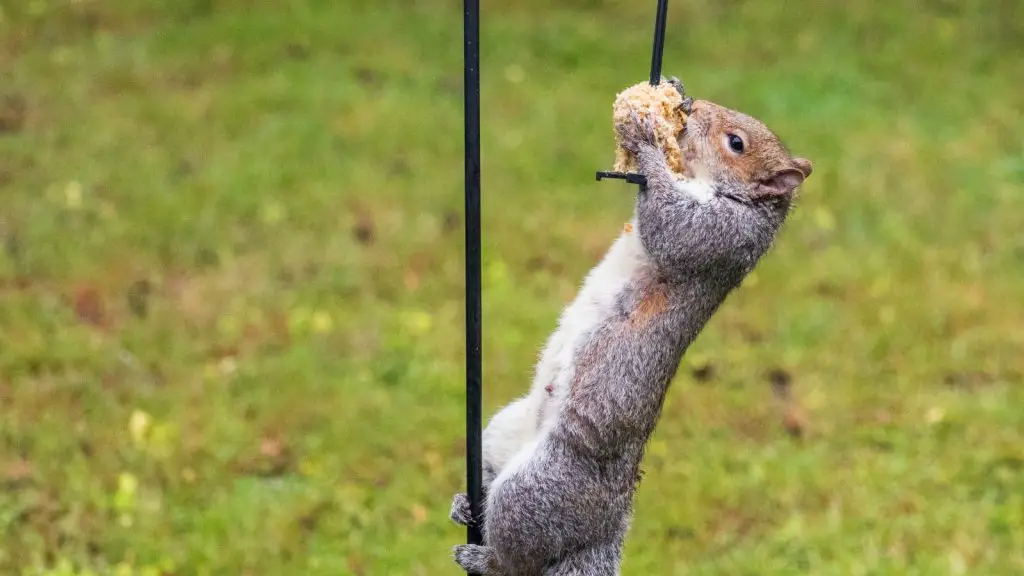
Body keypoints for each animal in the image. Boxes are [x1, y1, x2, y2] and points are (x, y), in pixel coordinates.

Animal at [446, 81, 806, 573]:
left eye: (736, 143)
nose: (692, 106)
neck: (740, 201)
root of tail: (605, 525)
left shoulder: (718, 235)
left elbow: (671, 224)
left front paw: (646, 138)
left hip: (538, 489)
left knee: (520, 558)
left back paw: (485, 557)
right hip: (501, 432)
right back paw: (466, 503)